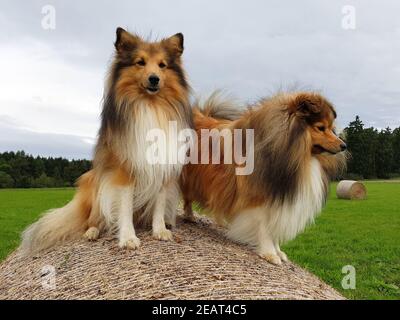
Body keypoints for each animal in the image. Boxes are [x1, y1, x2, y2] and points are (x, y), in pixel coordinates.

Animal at [20, 27, 192, 254]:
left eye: (162, 65)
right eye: (140, 62)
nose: (154, 79)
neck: (149, 105)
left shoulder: (162, 167)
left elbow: (159, 203)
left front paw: (160, 230)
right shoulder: (124, 170)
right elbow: (125, 207)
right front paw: (128, 238)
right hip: (96, 186)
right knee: (93, 218)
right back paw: (92, 232)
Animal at [181, 92, 346, 264]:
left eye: (331, 128)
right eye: (321, 127)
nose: (344, 145)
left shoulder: (277, 198)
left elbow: (274, 229)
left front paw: (279, 251)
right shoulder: (257, 199)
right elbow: (264, 227)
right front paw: (270, 254)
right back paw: (188, 216)